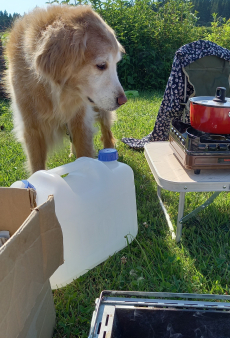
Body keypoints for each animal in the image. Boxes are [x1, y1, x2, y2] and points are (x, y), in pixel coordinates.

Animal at [4, 4, 126, 173]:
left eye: (116, 64)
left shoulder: (81, 121)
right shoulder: (31, 129)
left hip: (102, 109)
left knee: (106, 130)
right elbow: (37, 165)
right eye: (101, 65)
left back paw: (109, 152)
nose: (123, 100)